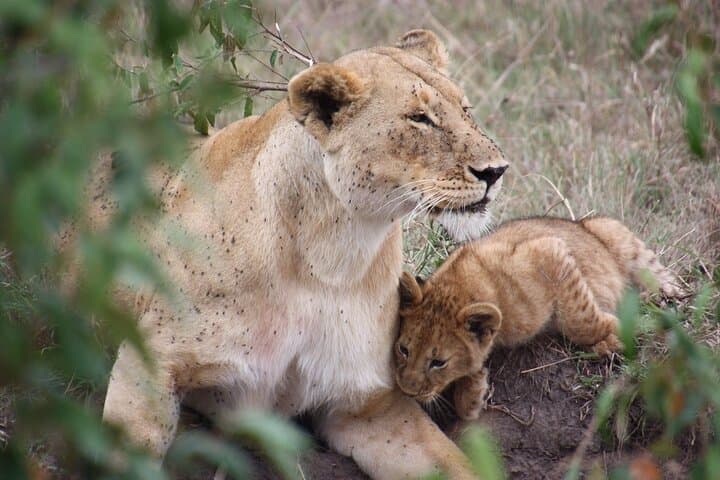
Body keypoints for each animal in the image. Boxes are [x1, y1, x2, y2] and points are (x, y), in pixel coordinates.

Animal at [86, 30, 508, 479]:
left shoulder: (365, 404)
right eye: (420, 119)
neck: (331, 257)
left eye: (465, 109)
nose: (497, 171)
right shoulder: (151, 360)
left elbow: (458, 465)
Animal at [395, 216, 682, 421]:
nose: (406, 391)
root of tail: (581, 222)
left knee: (662, 275)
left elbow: (580, 320)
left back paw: (660, 295)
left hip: (614, 232)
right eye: (403, 350)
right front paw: (471, 393)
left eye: (438, 362)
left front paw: (618, 329)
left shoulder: (548, 251)